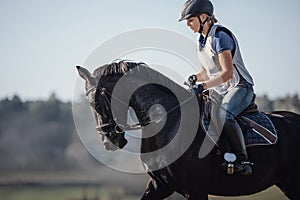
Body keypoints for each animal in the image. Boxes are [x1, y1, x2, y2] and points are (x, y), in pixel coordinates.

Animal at [76, 61, 300, 200]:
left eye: (98, 101)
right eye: (88, 102)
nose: (109, 141)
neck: (168, 122)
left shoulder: (195, 189)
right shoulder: (160, 185)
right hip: (287, 183)